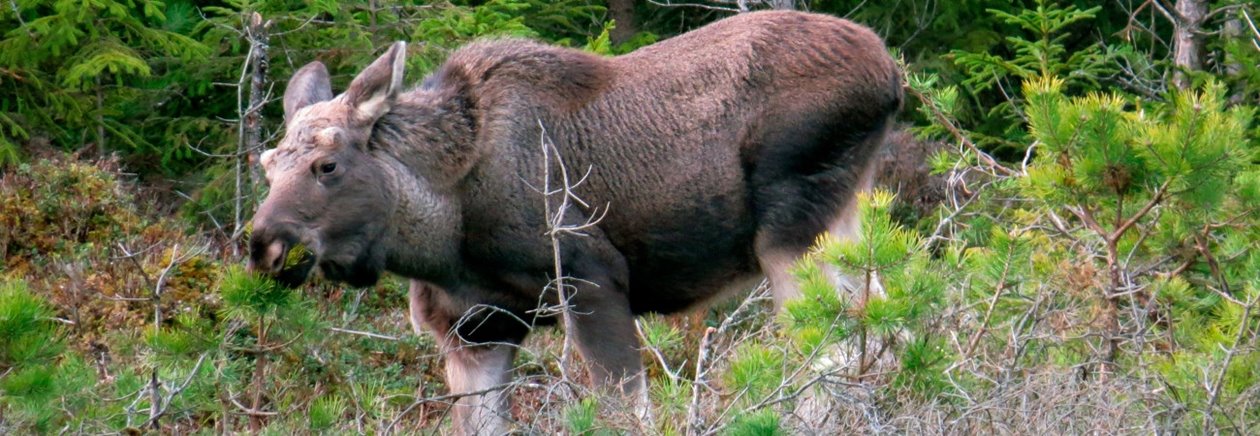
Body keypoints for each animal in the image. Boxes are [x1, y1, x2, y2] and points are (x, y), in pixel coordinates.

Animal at [245, 9, 902, 433]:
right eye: (267, 164)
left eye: (328, 165)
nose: (265, 246)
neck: (443, 229)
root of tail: (892, 75)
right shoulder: (475, 326)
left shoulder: (591, 277)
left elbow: (624, 410)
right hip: (845, 222)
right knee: (885, 326)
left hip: (791, 231)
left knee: (831, 351)